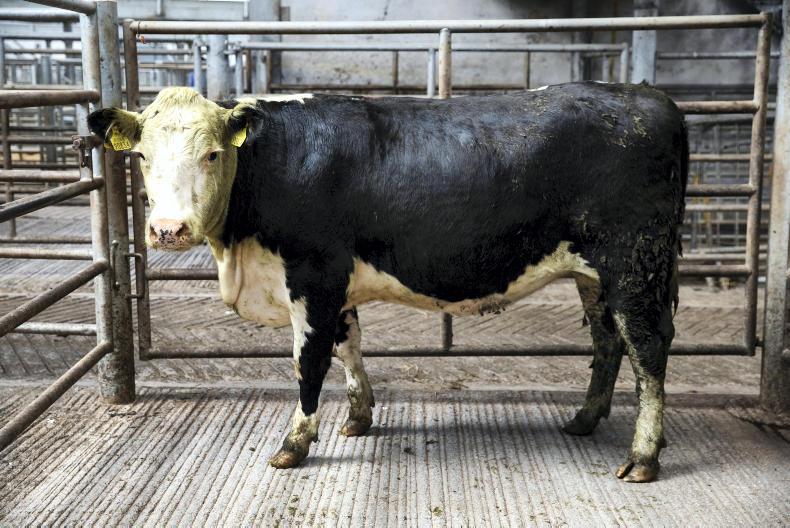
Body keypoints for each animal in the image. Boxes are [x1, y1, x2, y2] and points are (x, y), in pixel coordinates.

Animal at [88, 82, 688, 483]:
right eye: (141, 156)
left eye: (213, 154)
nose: (168, 229)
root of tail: (645, 96)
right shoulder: (339, 286)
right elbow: (349, 346)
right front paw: (358, 417)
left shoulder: (314, 275)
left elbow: (309, 362)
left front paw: (295, 443)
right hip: (595, 273)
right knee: (608, 341)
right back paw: (584, 420)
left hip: (635, 263)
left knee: (648, 349)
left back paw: (642, 456)